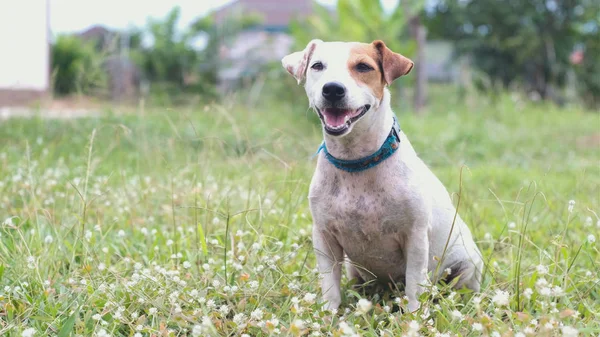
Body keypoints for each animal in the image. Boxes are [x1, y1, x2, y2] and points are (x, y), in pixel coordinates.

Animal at [282, 40, 482, 312]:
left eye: (363, 67)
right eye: (317, 66)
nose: (332, 89)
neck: (356, 161)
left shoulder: (415, 237)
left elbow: (414, 286)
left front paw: (413, 316)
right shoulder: (324, 237)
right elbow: (330, 286)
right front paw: (328, 314)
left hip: (466, 264)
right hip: (354, 268)